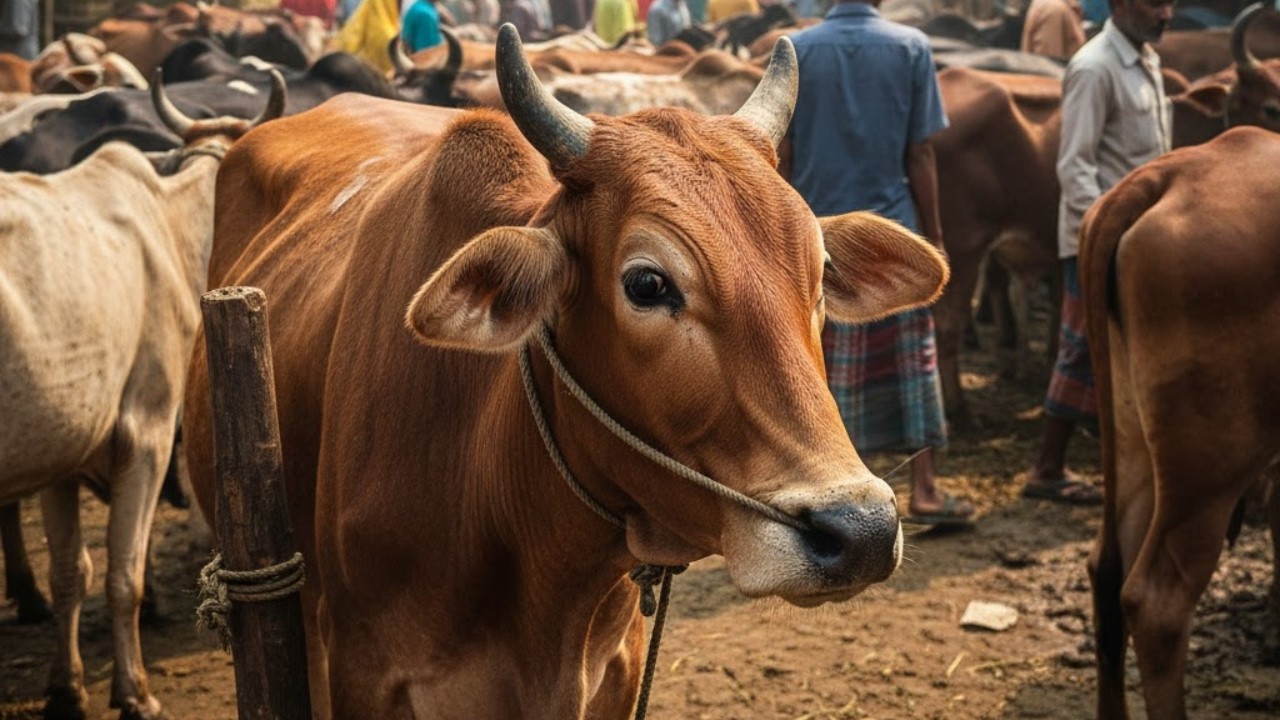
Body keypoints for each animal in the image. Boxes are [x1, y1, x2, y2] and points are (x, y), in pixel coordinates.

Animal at [0, 70, 284, 719]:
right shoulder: (148, 430)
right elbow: (122, 577)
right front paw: (134, 691)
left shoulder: (62, 449)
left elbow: (71, 573)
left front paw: (67, 688)